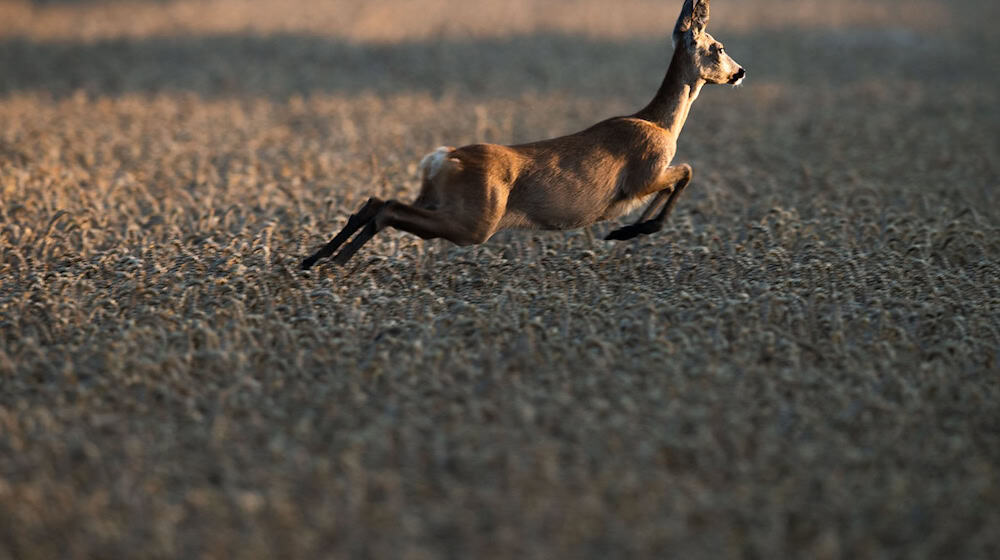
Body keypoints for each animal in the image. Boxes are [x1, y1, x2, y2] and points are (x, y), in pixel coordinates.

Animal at [302, 0, 744, 270]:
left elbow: (680, 178)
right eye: (718, 47)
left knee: (378, 201)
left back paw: (315, 261)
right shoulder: (644, 172)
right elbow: (685, 172)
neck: (659, 123)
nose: (740, 72)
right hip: (476, 220)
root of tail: (442, 158)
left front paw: (627, 230)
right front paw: (628, 229)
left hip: (440, 202)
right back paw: (331, 262)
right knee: (389, 209)